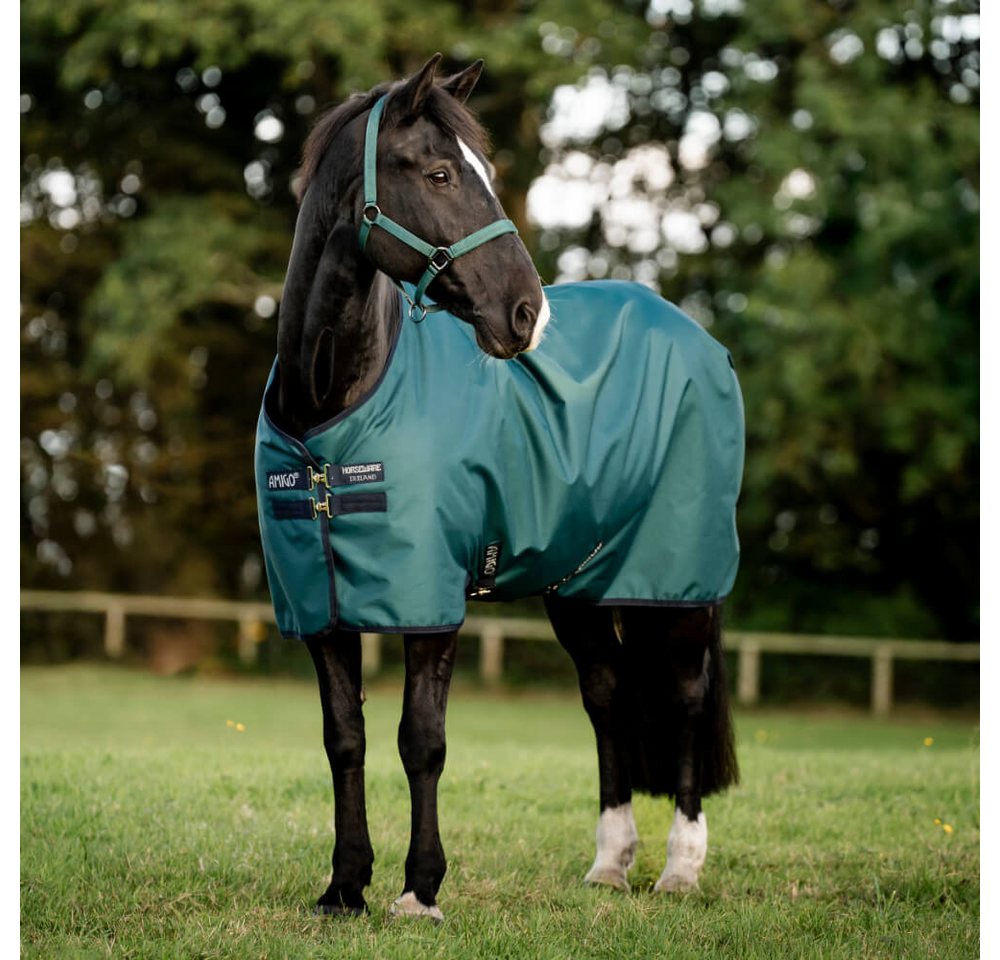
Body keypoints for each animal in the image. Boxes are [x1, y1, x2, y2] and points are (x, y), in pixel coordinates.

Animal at [254, 54, 742, 920]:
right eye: (441, 173)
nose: (527, 315)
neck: (331, 413)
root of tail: (696, 335)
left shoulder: (431, 601)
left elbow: (422, 740)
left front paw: (420, 890)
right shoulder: (320, 606)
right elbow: (345, 739)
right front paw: (345, 886)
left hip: (680, 582)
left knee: (684, 698)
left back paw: (681, 867)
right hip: (579, 586)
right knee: (606, 693)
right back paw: (610, 863)